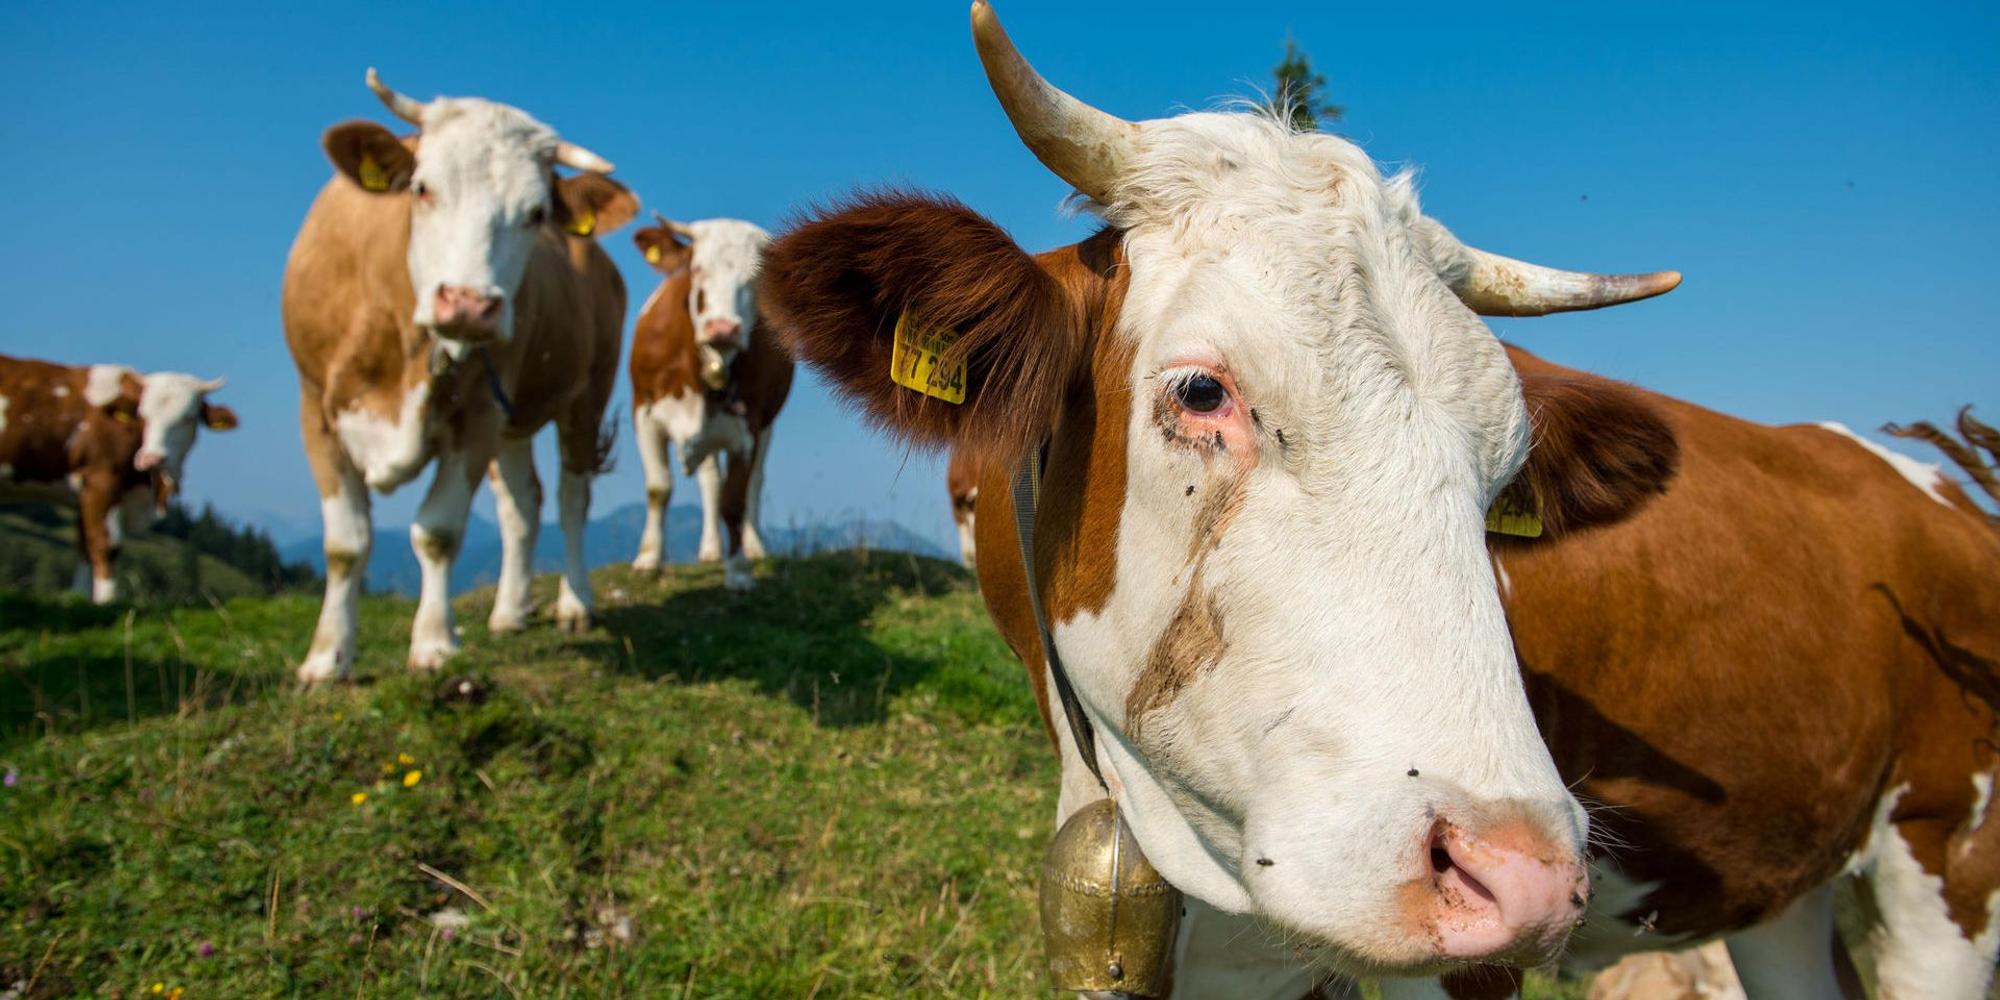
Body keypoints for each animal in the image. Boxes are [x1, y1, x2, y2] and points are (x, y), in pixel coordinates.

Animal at [0, 353, 236, 603]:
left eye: (189, 418)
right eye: (143, 415)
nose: (152, 459)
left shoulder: (84, 495)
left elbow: (84, 547)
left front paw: (80, 599)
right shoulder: (101, 481)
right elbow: (105, 546)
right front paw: (107, 602)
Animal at [282, 71, 635, 684]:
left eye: (536, 212)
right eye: (422, 188)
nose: (470, 304)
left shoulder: (478, 418)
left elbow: (438, 531)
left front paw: (433, 644)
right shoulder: (316, 407)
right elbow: (345, 543)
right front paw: (327, 659)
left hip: (585, 395)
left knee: (571, 497)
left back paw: (574, 603)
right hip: (515, 417)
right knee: (523, 504)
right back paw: (509, 611)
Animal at [627, 215, 793, 591]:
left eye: (755, 280)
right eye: (697, 269)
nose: (723, 328)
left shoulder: (748, 428)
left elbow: (735, 499)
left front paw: (739, 570)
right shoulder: (644, 412)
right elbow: (658, 488)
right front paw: (648, 559)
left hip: (767, 426)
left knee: (754, 483)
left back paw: (753, 546)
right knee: (710, 481)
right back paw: (710, 550)